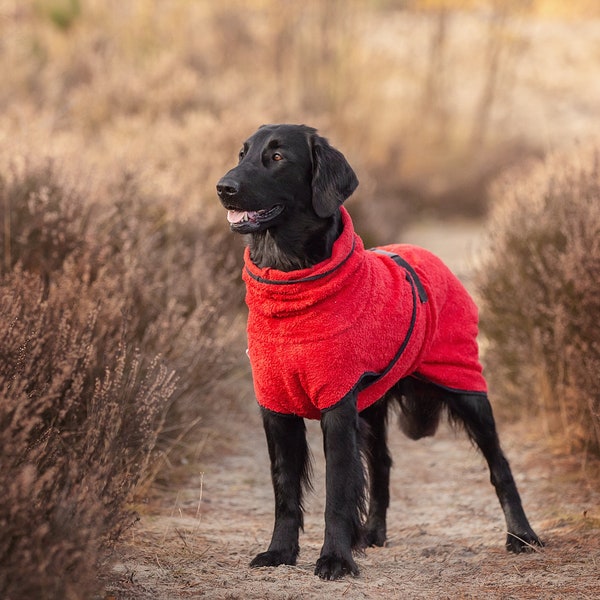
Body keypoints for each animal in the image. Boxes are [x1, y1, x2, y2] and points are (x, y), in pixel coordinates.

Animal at [217, 124, 544, 580]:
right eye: (242, 154)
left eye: (278, 157)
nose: (223, 188)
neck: (291, 282)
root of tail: (429, 254)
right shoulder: (276, 405)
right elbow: (285, 489)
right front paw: (280, 552)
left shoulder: (338, 406)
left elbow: (337, 491)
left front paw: (335, 558)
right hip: (372, 406)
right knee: (382, 464)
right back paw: (372, 532)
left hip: (465, 386)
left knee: (500, 466)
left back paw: (521, 535)